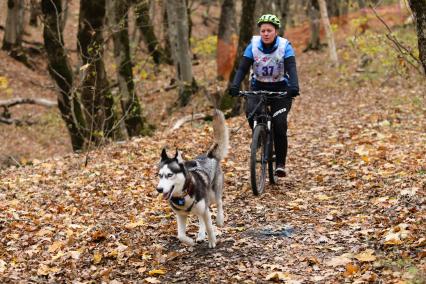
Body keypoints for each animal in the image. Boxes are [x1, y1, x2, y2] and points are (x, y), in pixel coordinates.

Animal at [157, 110, 230, 247]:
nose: (159, 189)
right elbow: (180, 235)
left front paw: (212, 241)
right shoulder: (180, 215)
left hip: (213, 194)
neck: (183, 196)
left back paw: (220, 219)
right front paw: (190, 242)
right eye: (159, 175)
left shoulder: (205, 208)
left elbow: (210, 227)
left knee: (219, 202)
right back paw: (200, 235)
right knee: (200, 218)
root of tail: (209, 156)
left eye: (170, 175)